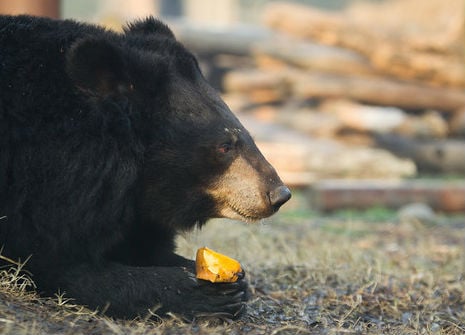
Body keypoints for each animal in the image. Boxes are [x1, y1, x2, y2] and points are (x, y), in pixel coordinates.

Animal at [0, 15, 290, 320]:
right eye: (225, 146)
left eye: (247, 136)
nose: (279, 195)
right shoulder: (42, 192)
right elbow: (55, 262)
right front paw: (206, 293)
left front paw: (228, 278)